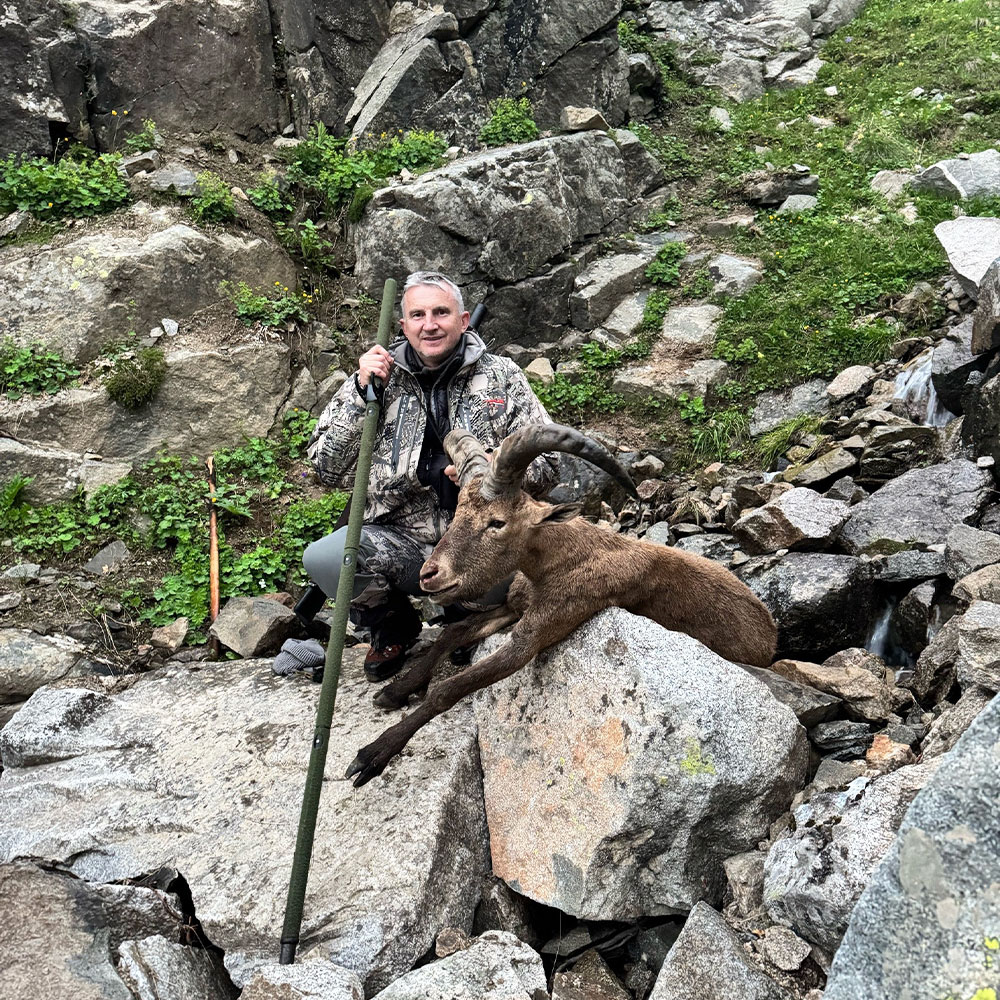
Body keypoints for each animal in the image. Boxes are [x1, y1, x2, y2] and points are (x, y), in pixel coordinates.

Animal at [345, 423, 777, 786]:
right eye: (457, 514)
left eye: (497, 522)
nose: (429, 575)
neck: (560, 558)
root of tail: (772, 636)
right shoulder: (516, 606)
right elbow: (453, 631)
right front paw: (395, 691)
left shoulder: (538, 631)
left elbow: (450, 689)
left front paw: (373, 755)